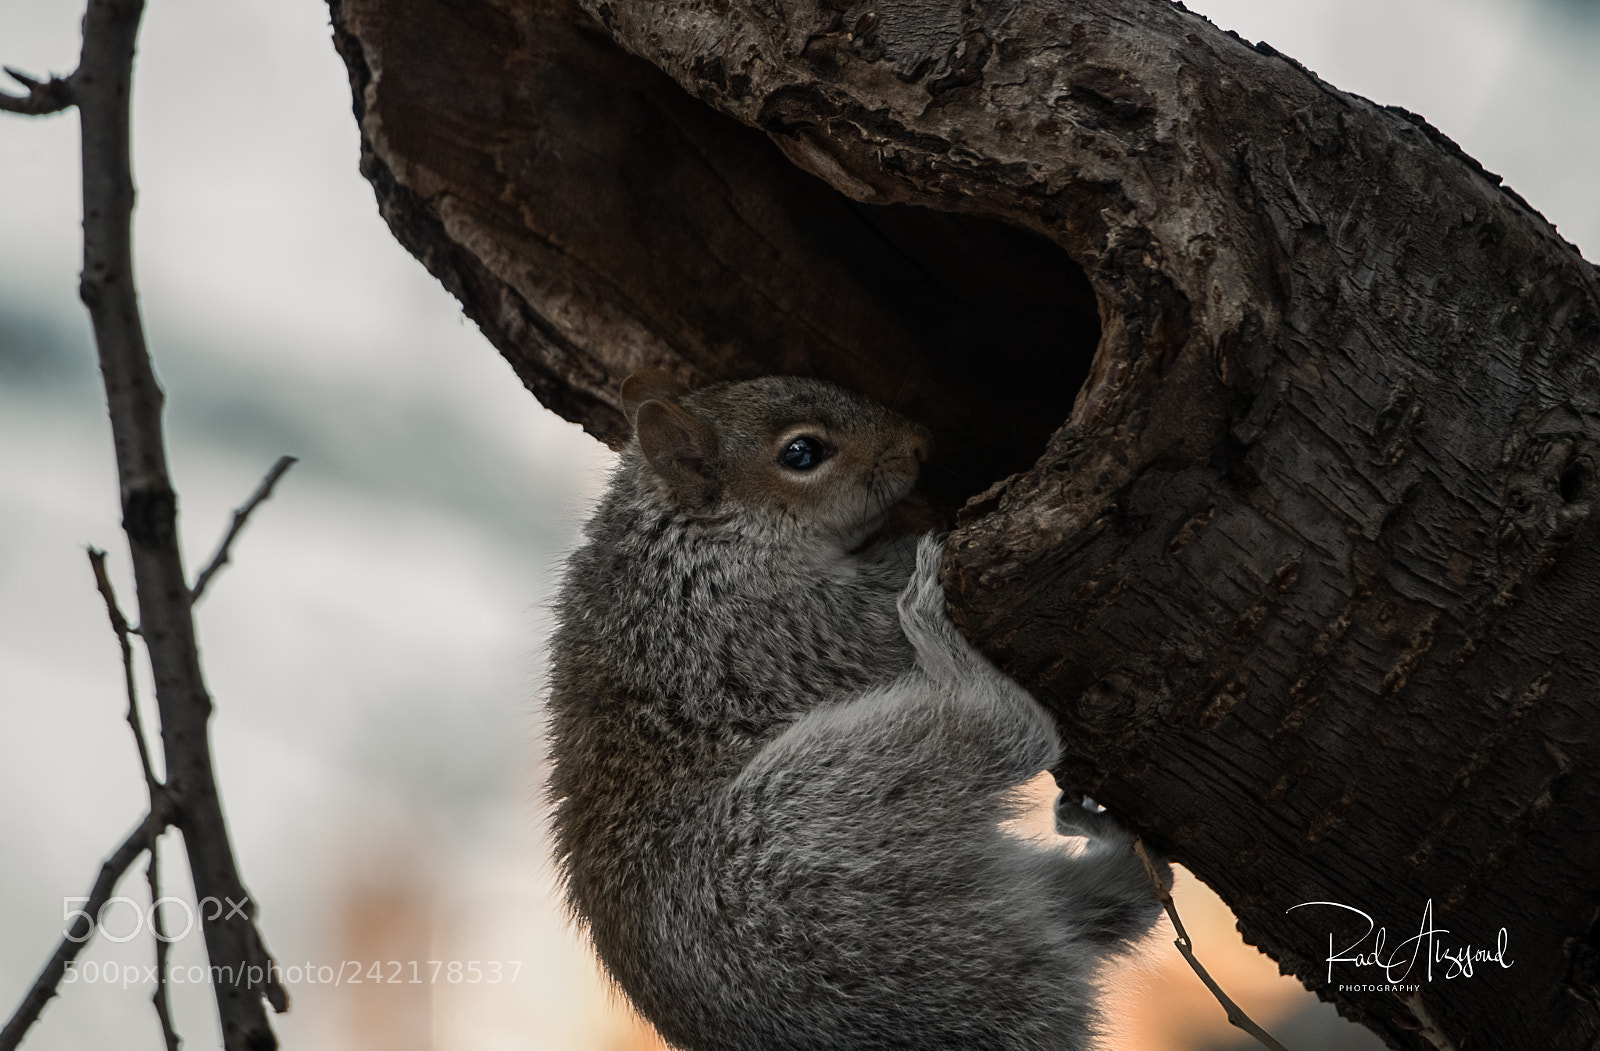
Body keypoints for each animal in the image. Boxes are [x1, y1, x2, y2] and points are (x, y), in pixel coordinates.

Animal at [546, 371, 1168, 1051]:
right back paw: (936, 628)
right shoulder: (770, 622)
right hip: (818, 812)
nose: (920, 443)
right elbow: (868, 622)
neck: (683, 534)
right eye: (802, 453)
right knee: (1011, 734)